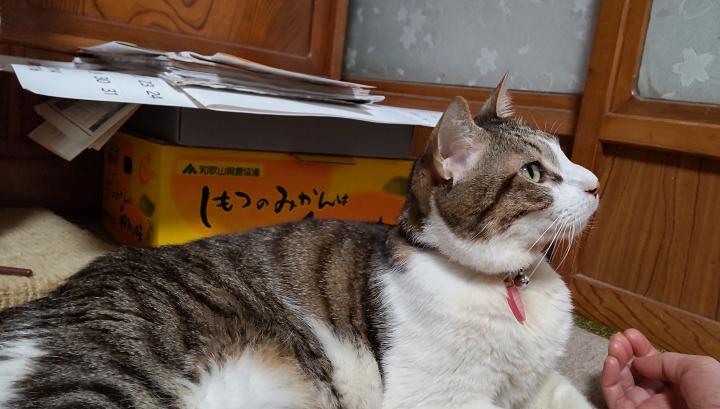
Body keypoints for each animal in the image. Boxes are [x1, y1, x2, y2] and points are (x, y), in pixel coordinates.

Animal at [0, 76, 599, 409]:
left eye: (565, 154)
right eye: (534, 172)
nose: (596, 183)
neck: (510, 286)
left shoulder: (537, 384)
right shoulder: (441, 398)